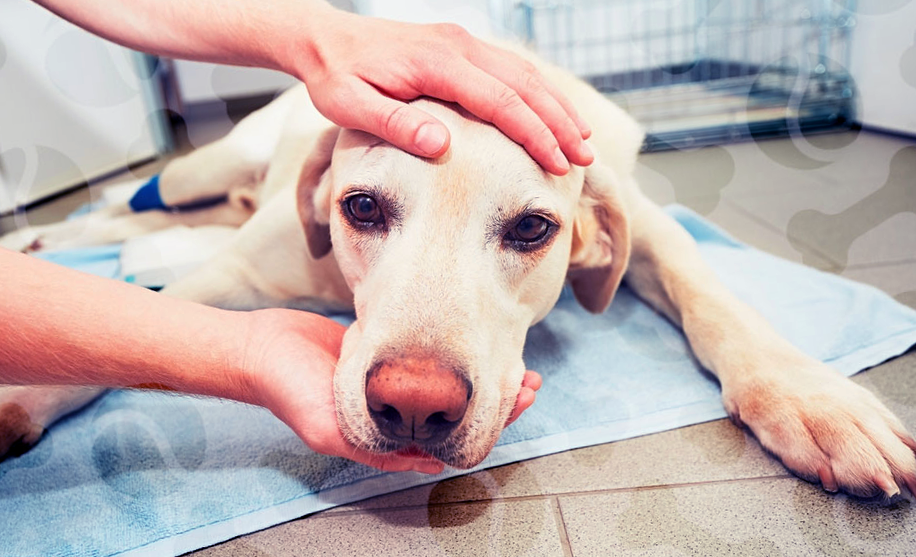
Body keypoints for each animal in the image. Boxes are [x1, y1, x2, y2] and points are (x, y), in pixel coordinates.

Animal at [1, 45, 916, 498]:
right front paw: (25, 390)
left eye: (533, 227)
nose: (413, 404)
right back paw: (49, 235)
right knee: (140, 205)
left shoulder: (642, 218)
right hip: (213, 163)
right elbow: (120, 318)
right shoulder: (237, 273)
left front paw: (814, 399)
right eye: (362, 208)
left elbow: (708, 289)